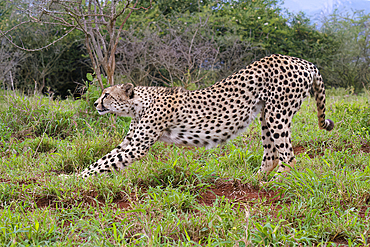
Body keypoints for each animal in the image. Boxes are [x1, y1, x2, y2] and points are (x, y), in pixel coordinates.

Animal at [76, 54, 334, 178]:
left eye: (107, 95)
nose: (96, 103)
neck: (139, 103)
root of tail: (305, 61)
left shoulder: (136, 146)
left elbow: (105, 164)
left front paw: (74, 180)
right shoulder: (129, 142)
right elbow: (102, 160)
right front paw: (73, 177)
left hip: (277, 113)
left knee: (288, 155)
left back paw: (277, 182)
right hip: (266, 114)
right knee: (271, 155)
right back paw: (256, 180)